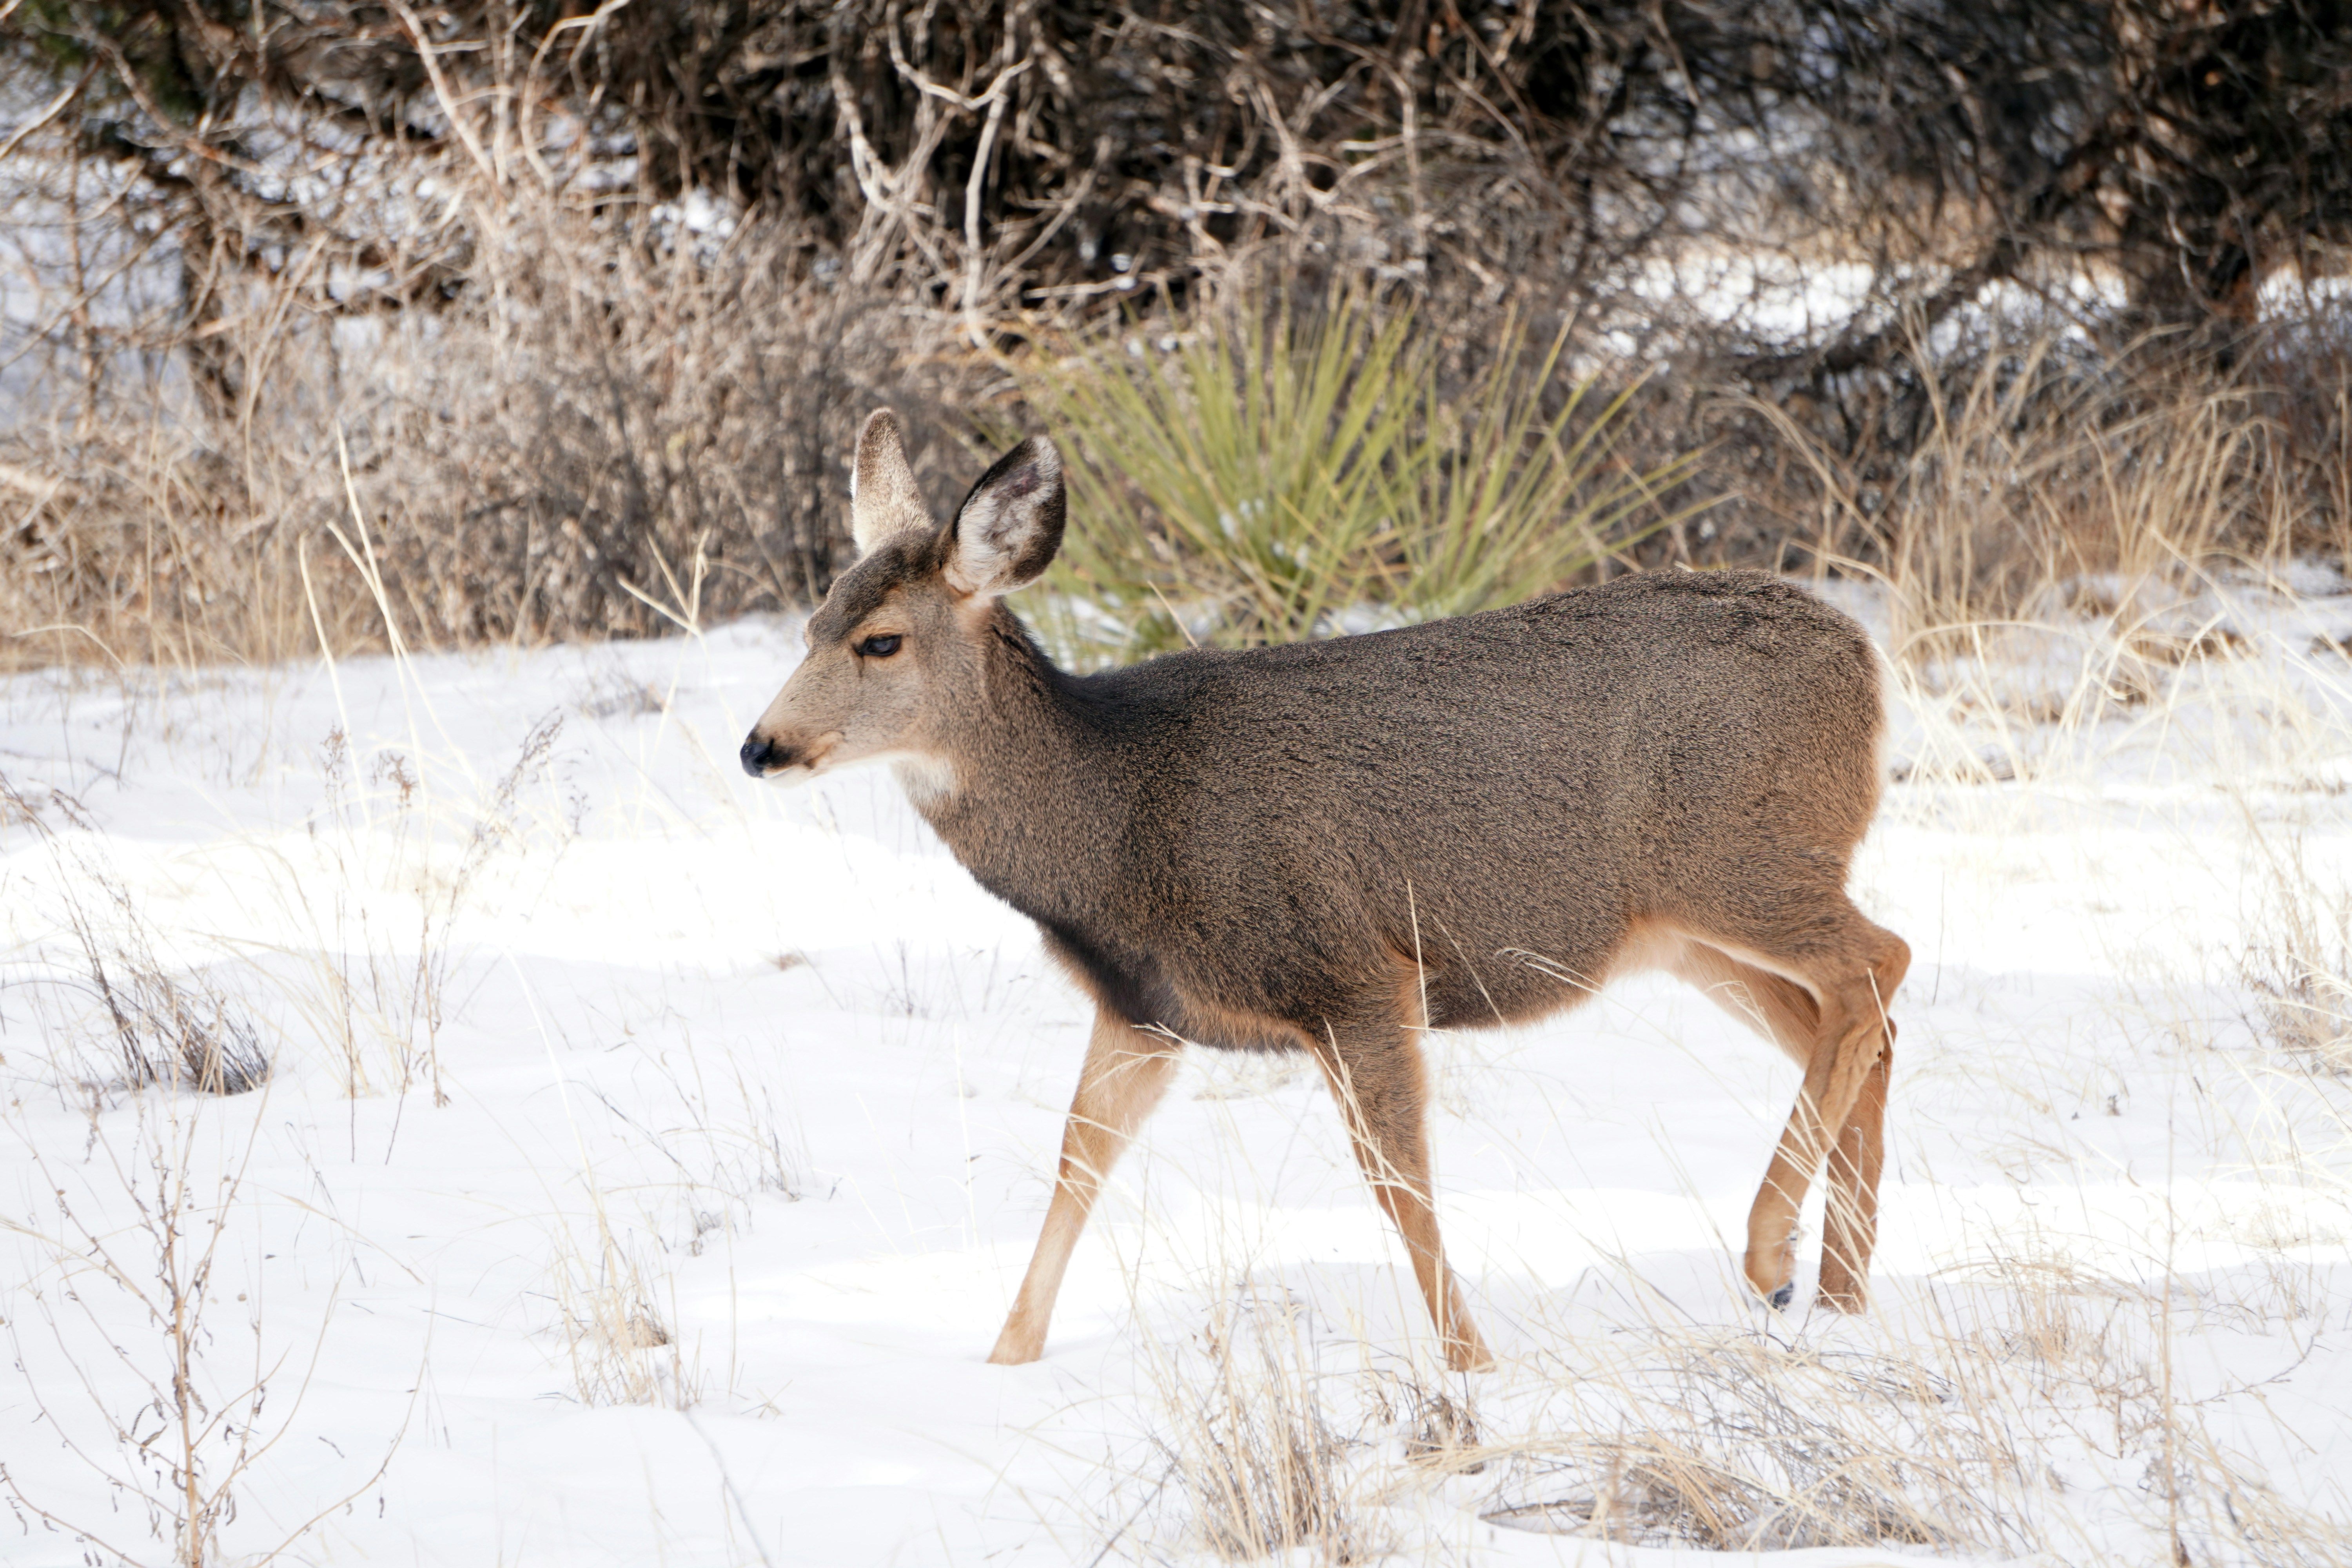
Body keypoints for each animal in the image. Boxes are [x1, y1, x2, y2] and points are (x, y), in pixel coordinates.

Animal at [741, 410, 1909, 1372]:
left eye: (881, 640)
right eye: (808, 626)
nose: (761, 746)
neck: (1116, 819)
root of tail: (1864, 659)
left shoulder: (1352, 969)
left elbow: (1399, 1185)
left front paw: (1472, 1366)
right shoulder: (1146, 1011)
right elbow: (1078, 1160)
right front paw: (1003, 1360)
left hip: (1744, 860)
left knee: (1877, 964)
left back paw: (1772, 1259)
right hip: (1684, 930)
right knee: (1849, 1020)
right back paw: (1842, 1293)